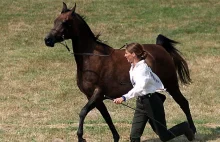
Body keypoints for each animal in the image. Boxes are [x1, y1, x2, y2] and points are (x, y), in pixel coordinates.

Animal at [44, 2, 196, 142]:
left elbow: (83, 112)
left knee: (183, 103)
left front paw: (81, 137)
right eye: (55, 20)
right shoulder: (94, 97)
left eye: (65, 22)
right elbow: (106, 117)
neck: (92, 58)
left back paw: (192, 131)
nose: (47, 40)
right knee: (161, 99)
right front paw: (116, 137)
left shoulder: (97, 93)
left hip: (171, 84)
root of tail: (161, 48)